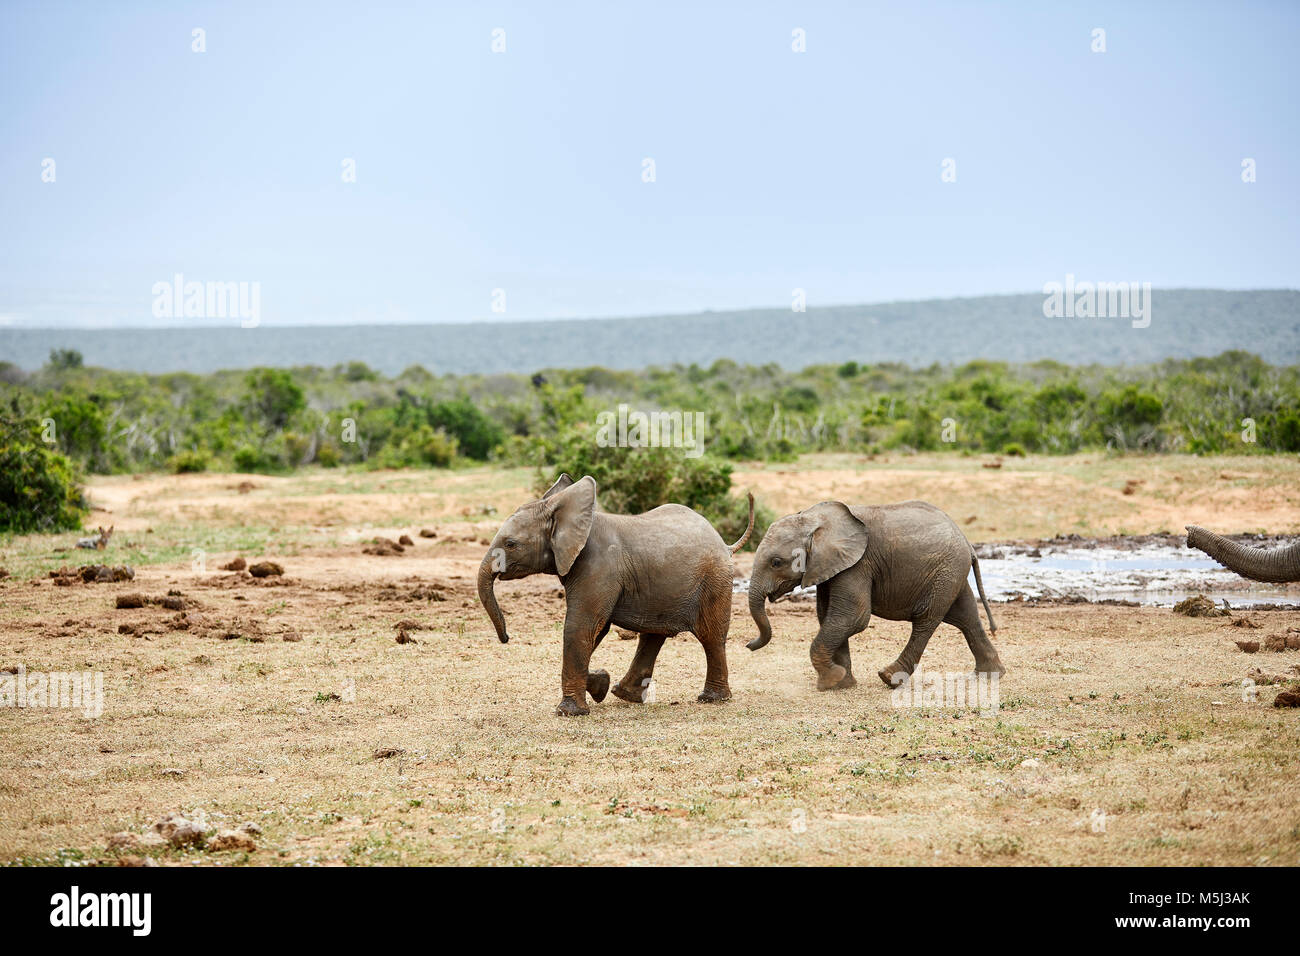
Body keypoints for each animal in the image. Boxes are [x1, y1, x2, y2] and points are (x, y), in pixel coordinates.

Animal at [743, 502, 1003, 686]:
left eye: (776, 562)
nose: (748, 645)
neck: (814, 520)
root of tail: (968, 543)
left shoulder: (858, 564)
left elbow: (853, 617)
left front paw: (832, 679)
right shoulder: (832, 566)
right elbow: (828, 616)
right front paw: (842, 683)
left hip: (945, 571)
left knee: (926, 619)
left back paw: (889, 678)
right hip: (951, 573)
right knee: (966, 617)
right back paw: (989, 675)